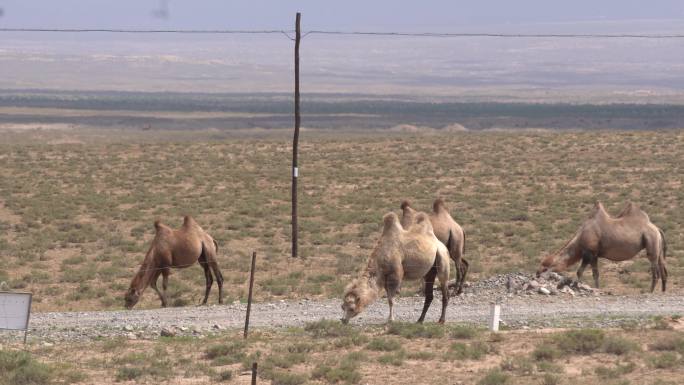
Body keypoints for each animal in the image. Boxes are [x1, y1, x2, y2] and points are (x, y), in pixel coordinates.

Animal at [536, 201, 668, 292]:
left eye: (546, 268)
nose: (537, 274)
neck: (580, 237)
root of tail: (657, 229)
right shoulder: (593, 255)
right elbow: (592, 273)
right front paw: (593, 288)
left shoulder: (589, 253)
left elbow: (582, 272)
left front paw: (579, 287)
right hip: (658, 248)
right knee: (663, 269)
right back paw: (662, 291)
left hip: (651, 242)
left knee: (655, 271)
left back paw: (650, 291)